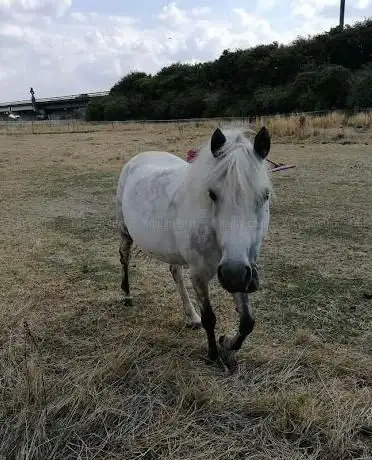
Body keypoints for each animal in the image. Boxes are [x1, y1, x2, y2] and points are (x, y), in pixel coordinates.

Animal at [116, 126, 274, 370]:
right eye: (212, 194)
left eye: (265, 195)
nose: (233, 274)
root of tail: (139, 157)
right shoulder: (202, 273)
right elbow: (210, 317)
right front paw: (212, 354)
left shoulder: (240, 268)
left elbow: (247, 321)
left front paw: (227, 344)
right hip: (125, 230)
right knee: (124, 258)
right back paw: (126, 294)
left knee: (176, 273)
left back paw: (191, 316)